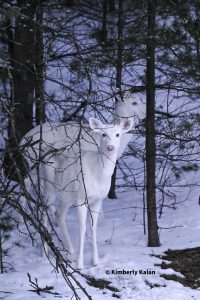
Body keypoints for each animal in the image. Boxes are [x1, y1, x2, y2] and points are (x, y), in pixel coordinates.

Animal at [27, 116, 133, 268]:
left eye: (118, 134)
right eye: (103, 134)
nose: (110, 147)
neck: (98, 174)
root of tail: (46, 149)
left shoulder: (98, 199)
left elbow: (93, 227)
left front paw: (95, 261)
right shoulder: (82, 198)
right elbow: (82, 228)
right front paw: (80, 264)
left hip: (67, 194)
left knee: (59, 213)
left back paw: (71, 253)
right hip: (49, 185)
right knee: (43, 209)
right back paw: (45, 252)